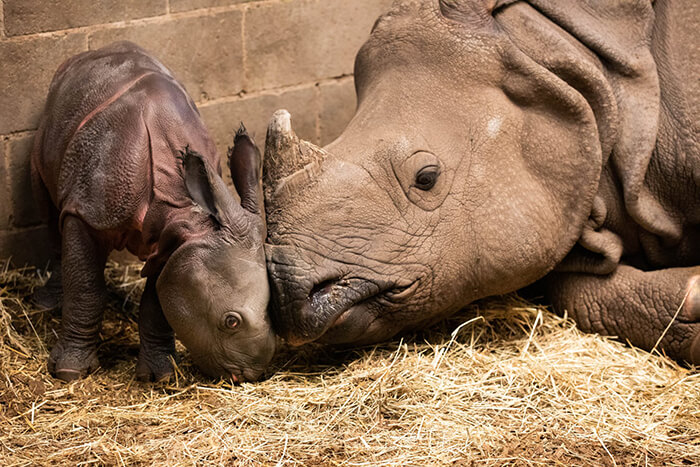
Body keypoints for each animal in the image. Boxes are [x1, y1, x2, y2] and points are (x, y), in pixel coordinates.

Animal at [32, 41, 274, 384]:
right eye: (231, 322)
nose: (250, 373)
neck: (187, 212)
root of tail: (94, 52)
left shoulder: (178, 243)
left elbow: (158, 302)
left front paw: (160, 376)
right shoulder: (87, 212)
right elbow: (86, 287)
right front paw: (70, 372)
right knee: (51, 210)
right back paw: (46, 306)